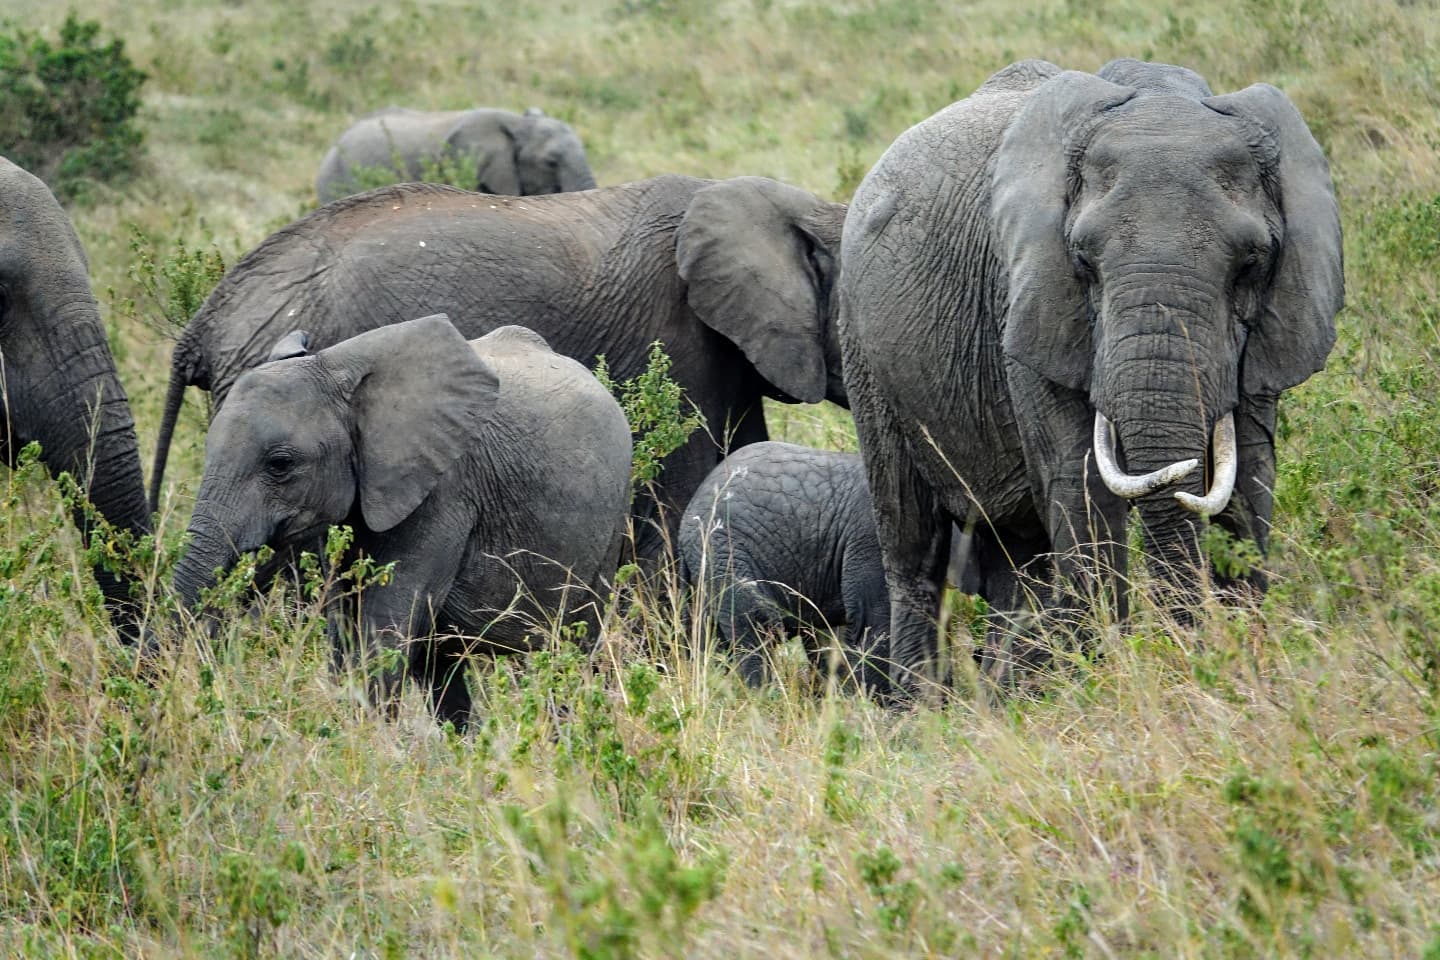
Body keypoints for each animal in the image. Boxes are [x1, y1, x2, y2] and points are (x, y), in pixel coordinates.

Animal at [173, 315, 633, 729]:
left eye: (280, 464)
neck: (338, 369)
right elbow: (345, 626)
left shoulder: (444, 492)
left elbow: (385, 630)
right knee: (442, 667)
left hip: (609, 529)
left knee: (569, 651)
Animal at [838, 59, 1343, 697]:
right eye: (1084, 263)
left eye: (1250, 265)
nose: (1189, 655)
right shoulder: (1027, 296)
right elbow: (1079, 480)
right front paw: (1103, 684)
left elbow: (1249, 474)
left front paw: (1242, 664)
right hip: (865, 353)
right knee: (911, 540)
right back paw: (919, 709)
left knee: (1018, 555)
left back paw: (1006, 697)